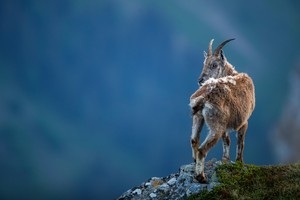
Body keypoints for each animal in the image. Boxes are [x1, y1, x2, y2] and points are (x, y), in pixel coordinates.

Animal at [190, 39, 255, 183]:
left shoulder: (226, 124)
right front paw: (239, 162)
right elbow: (240, 141)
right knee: (202, 150)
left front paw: (225, 159)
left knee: (194, 140)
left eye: (214, 64)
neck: (233, 74)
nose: (200, 80)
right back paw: (201, 177)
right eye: (204, 63)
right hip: (216, 125)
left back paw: (195, 164)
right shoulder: (244, 121)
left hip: (199, 117)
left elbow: (227, 140)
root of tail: (204, 98)